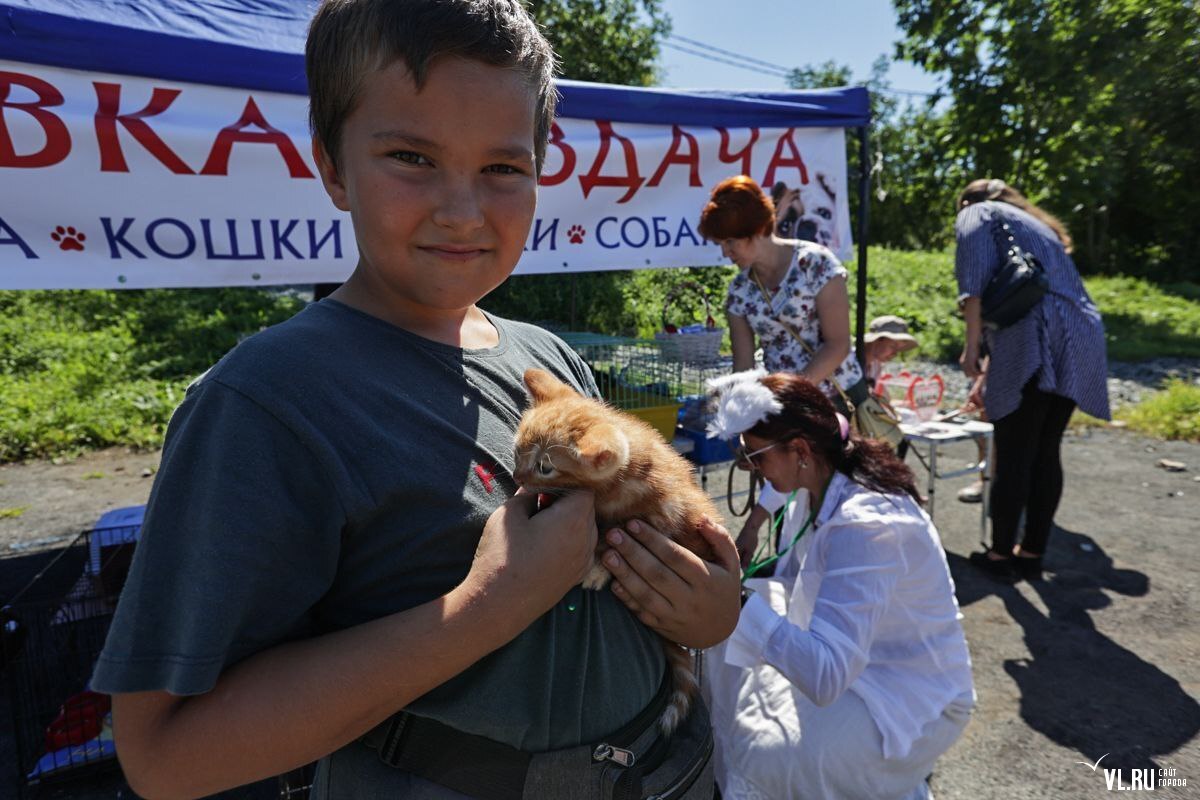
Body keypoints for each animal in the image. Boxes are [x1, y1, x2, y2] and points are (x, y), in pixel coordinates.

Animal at [508, 367, 715, 734]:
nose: (516, 476)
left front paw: (597, 568)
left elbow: (613, 535)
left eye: (546, 467)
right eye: (518, 450)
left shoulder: (666, 514)